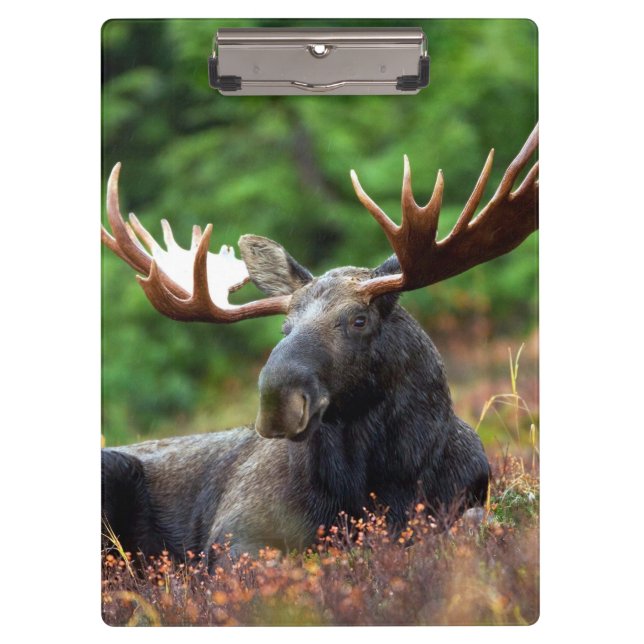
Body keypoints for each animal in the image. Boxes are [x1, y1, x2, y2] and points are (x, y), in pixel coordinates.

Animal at [101, 125, 538, 560]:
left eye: (359, 320)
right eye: (285, 327)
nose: (277, 402)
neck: (382, 480)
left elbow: (473, 522)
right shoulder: (235, 531)